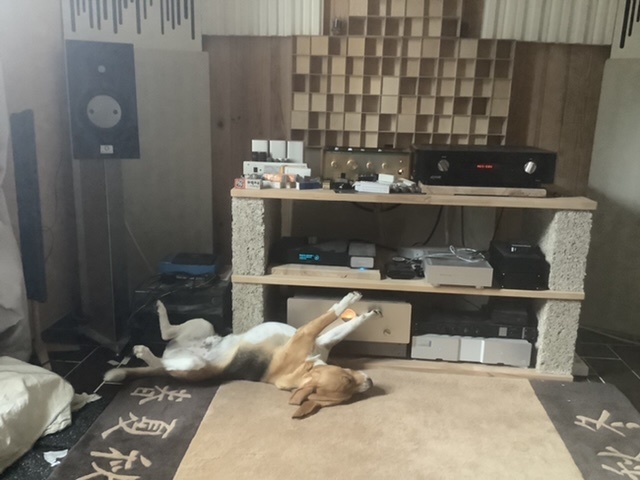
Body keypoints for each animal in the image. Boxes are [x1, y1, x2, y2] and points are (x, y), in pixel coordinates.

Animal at [104, 291, 379, 418]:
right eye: (346, 379)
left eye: (351, 397)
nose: (370, 382)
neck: (304, 369)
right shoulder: (312, 336)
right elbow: (334, 318)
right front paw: (355, 304)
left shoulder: (314, 338)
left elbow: (339, 322)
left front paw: (359, 309)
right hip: (201, 331)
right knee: (164, 341)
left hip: (194, 350)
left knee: (165, 340)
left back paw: (148, 343)